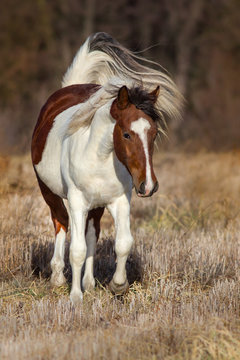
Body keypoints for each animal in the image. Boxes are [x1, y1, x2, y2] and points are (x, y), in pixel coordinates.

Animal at [31, 33, 182, 304]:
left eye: (154, 133)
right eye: (126, 134)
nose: (148, 186)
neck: (98, 160)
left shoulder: (119, 201)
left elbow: (122, 243)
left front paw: (117, 285)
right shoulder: (77, 201)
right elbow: (77, 249)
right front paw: (75, 296)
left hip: (97, 206)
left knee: (92, 234)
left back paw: (89, 283)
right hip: (50, 192)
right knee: (61, 223)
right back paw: (57, 278)